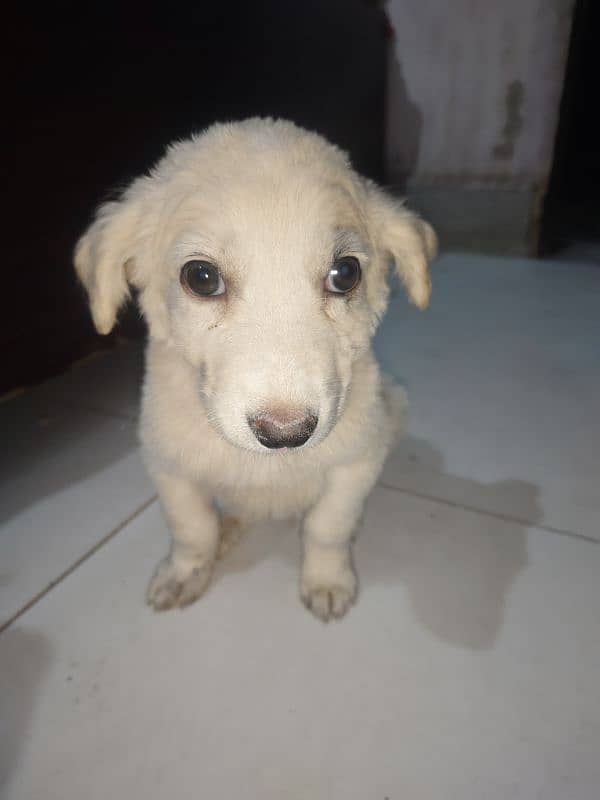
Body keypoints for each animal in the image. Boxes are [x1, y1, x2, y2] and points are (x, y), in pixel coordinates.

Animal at [75, 115, 436, 620]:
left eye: (345, 273)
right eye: (201, 277)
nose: (285, 434)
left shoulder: (357, 460)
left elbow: (328, 526)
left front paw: (327, 580)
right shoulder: (168, 465)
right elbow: (192, 529)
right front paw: (185, 572)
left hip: (394, 404)